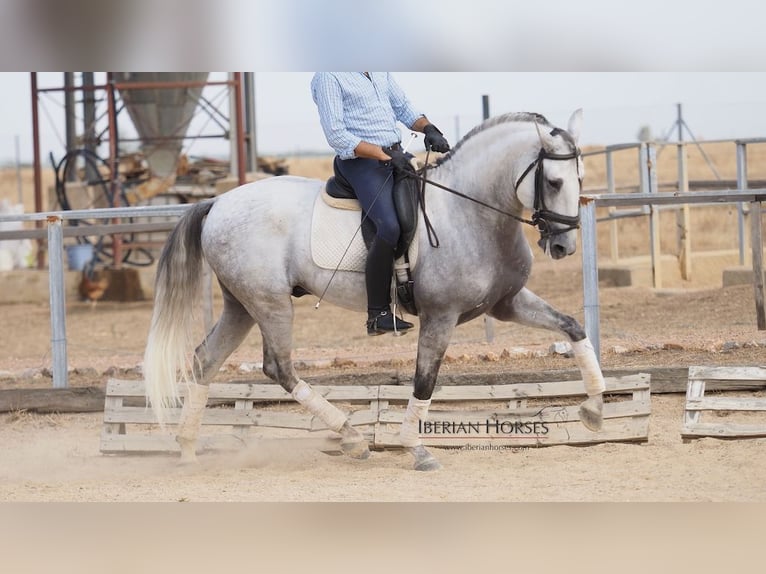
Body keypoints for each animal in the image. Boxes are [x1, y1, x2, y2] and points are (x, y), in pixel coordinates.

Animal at [144, 109, 608, 472]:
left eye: (580, 176)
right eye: (553, 181)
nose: (564, 246)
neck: (471, 212)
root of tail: (218, 203)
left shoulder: (506, 303)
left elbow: (573, 327)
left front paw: (594, 408)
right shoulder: (441, 316)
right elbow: (425, 381)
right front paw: (416, 449)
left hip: (241, 305)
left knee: (206, 359)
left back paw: (187, 450)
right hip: (269, 303)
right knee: (279, 368)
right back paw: (351, 437)